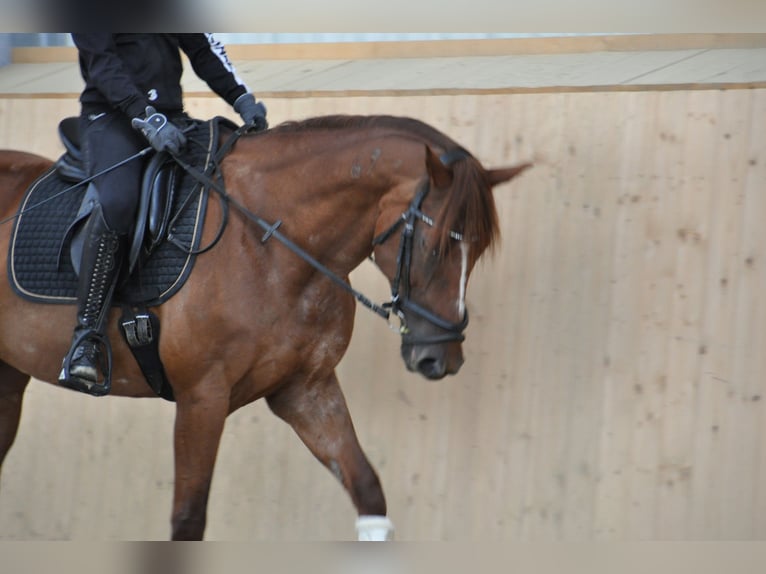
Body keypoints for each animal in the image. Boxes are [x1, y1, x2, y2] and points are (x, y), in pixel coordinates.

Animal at [0, 114, 531, 540]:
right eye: (433, 245)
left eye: (478, 251)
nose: (441, 357)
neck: (269, 243)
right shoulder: (202, 397)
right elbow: (188, 520)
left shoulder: (306, 390)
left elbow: (367, 490)